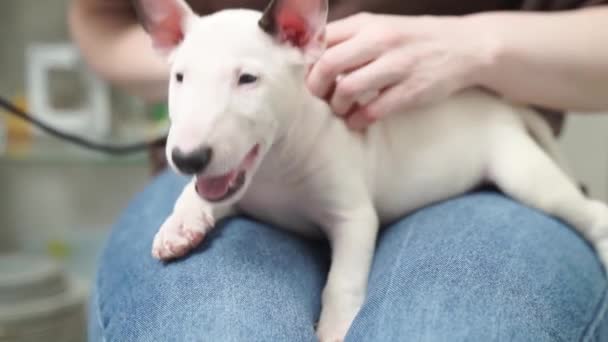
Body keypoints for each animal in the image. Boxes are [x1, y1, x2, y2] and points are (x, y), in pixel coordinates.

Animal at [137, 0, 608, 340]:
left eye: (247, 79)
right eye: (179, 78)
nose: (186, 158)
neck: (275, 168)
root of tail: (503, 106)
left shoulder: (353, 217)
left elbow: (342, 281)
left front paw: (333, 330)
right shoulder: (237, 187)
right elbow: (199, 194)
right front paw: (180, 226)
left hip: (521, 171)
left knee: (588, 211)